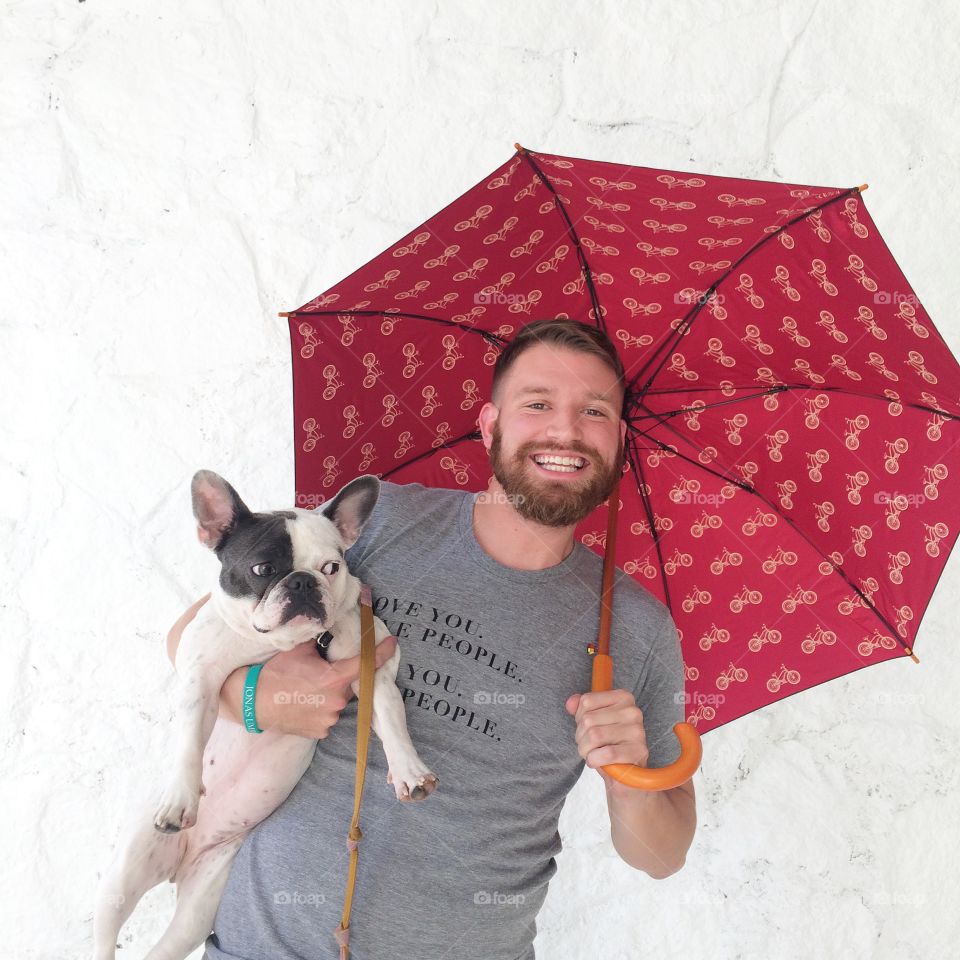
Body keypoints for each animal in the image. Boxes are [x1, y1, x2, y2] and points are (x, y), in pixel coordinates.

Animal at [92, 470, 436, 960]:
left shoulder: (375, 672)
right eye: (262, 570)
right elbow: (189, 740)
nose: (302, 583)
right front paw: (182, 795)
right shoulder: (200, 677)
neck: (274, 645)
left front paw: (408, 770)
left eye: (332, 567)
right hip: (121, 881)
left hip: (202, 905)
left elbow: (391, 719)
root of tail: (178, 865)